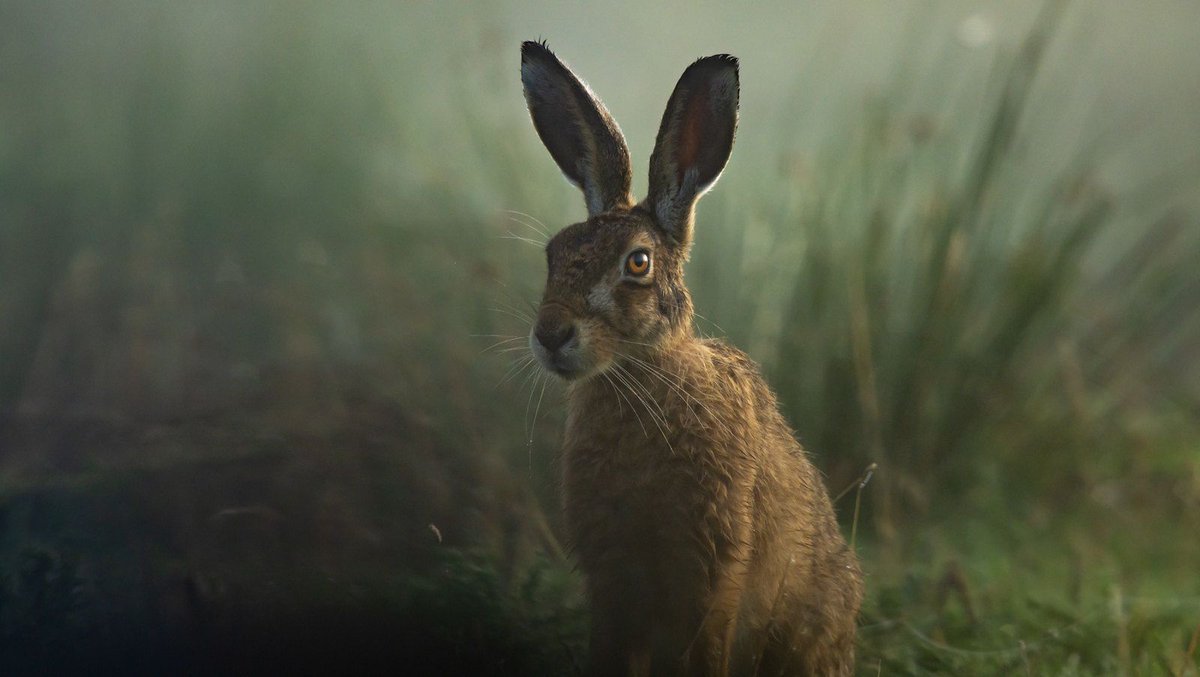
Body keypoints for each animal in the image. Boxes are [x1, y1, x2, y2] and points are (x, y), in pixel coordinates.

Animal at [520, 40, 863, 677]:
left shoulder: (712, 573)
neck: (640, 376)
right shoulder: (611, 580)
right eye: (553, 254)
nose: (551, 335)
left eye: (637, 263)